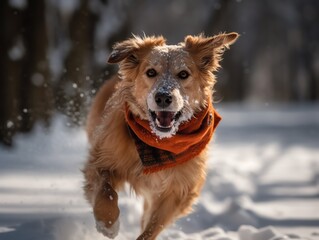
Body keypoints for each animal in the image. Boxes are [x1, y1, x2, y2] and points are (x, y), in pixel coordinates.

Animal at [84, 32, 239, 239]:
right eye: (151, 72)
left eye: (183, 74)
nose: (163, 97)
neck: (159, 142)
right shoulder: (100, 160)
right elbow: (105, 190)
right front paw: (108, 222)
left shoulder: (178, 191)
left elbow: (152, 228)